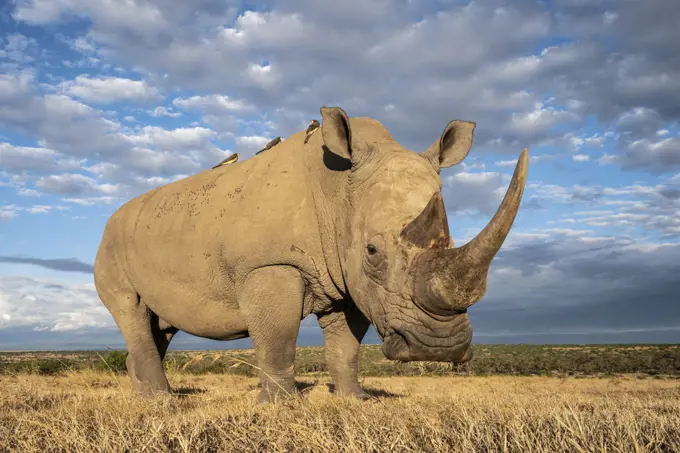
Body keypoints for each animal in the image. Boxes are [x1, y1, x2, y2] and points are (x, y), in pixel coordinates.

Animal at [93, 105, 528, 400]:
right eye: (372, 250)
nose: (438, 347)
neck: (337, 191)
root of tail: (110, 220)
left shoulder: (347, 277)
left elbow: (346, 346)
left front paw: (356, 400)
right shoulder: (271, 263)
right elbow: (278, 338)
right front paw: (282, 405)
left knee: (160, 326)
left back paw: (145, 397)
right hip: (110, 245)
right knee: (132, 310)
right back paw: (163, 401)